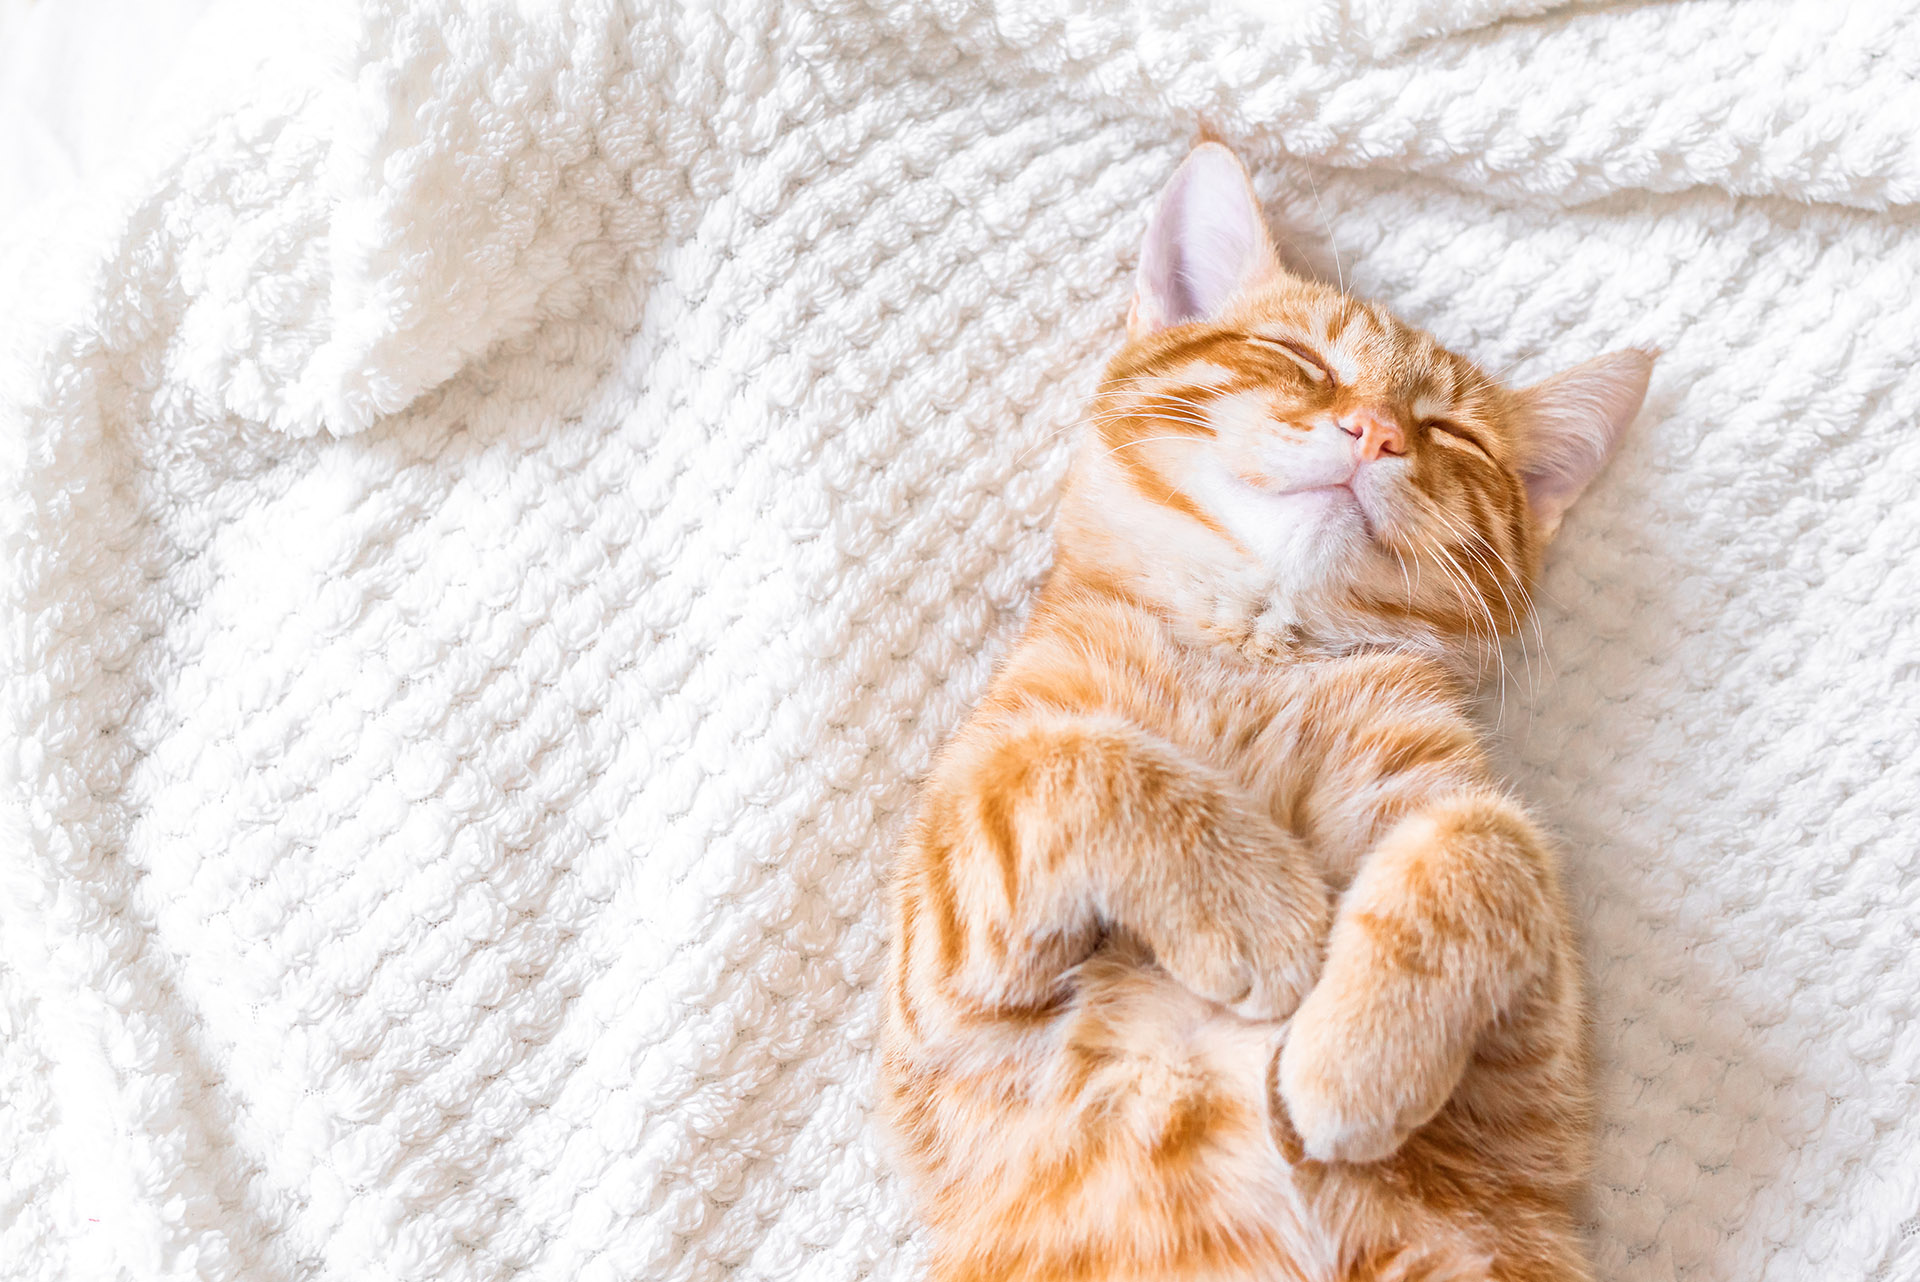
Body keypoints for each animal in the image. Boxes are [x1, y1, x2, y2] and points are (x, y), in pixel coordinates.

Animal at [879, 142, 1658, 1282]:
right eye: (1300, 358)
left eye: (1452, 435)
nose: (1374, 431)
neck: (1258, 652)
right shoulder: (940, 995)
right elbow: (1067, 760)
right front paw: (1261, 907)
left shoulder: (1535, 1093)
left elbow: (1490, 840)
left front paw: (1353, 1062)